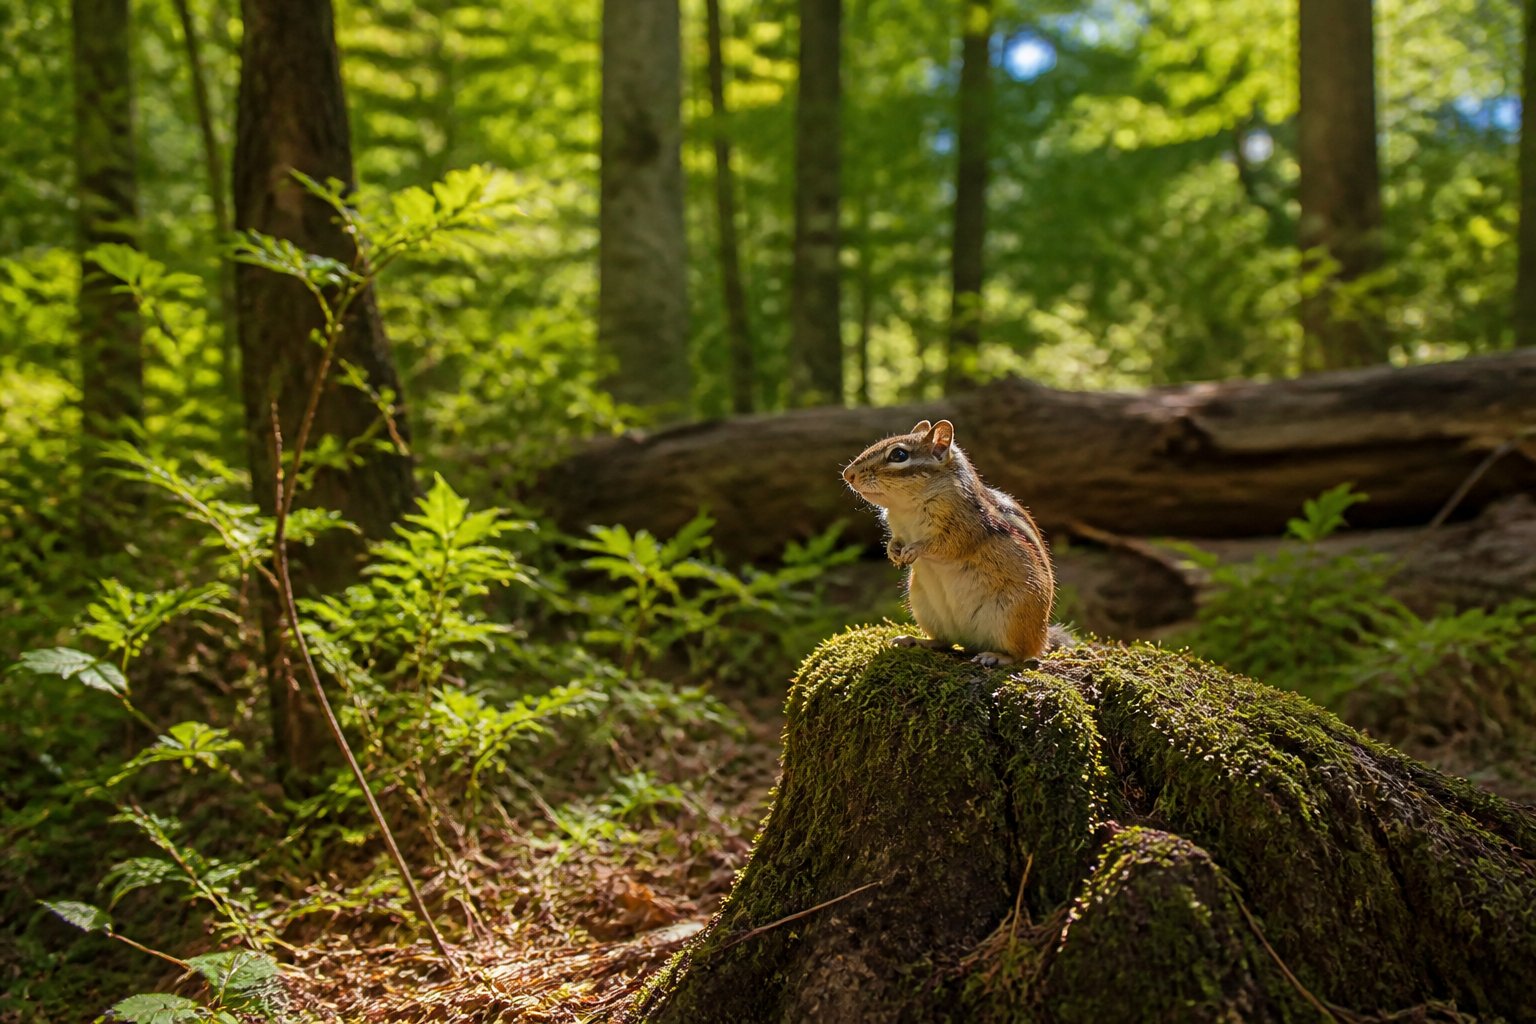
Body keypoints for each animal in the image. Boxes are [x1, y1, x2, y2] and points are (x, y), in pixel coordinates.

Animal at [842, 419, 1073, 666]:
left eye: (899, 454)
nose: (848, 474)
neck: (907, 508)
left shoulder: (965, 527)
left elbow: (945, 545)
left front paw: (914, 549)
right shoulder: (899, 528)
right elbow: (897, 539)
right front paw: (893, 551)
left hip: (1014, 618)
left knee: (1023, 654)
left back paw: (997, 656)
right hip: (923, 606)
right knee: (945, 641)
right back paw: (916, 640)